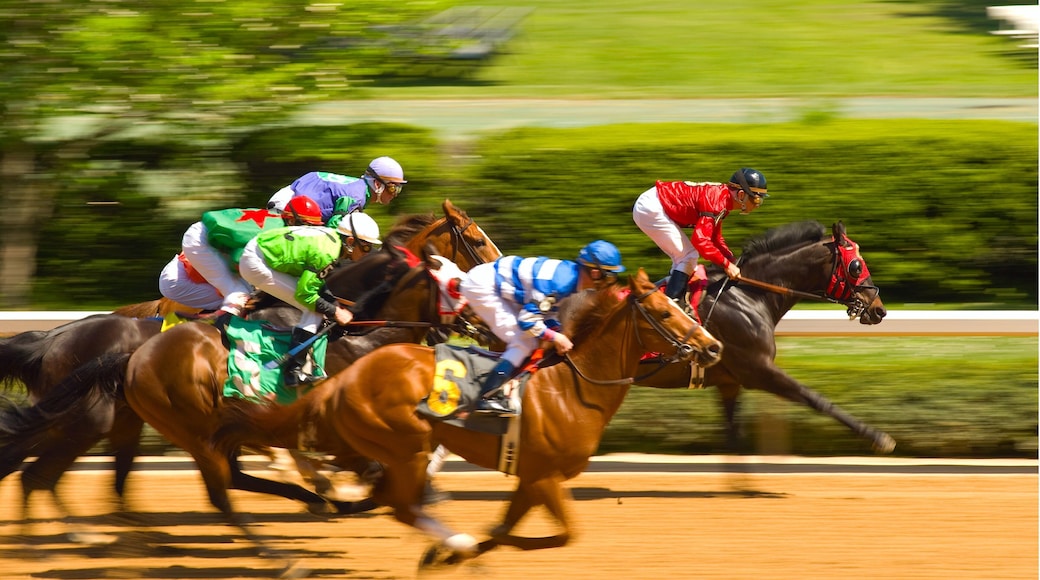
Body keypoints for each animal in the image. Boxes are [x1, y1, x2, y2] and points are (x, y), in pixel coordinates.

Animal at [0, 199, 501, 544]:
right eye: (476, 241)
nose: (491, 328)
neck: (360, 331)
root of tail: (52, 337)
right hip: (93, 418)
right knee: (39, 468)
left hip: (120, 419)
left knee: (96, 472)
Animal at [213, 267, 724, 568]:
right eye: (664, 312)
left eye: (679, 305)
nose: (714, 346)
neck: (572, 390)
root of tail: (349, 375)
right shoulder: (546, 476)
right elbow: (559, 536)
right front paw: (462, 550)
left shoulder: (532, 478)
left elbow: (512, 529)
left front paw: (465, 551)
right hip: (407, 445)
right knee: (401, 503)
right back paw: (446, 540)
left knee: (392, 498)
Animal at [635, 220, 893, 453]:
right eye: (856, 266)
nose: (879, 309)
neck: (749, 294)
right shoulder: (758, 369)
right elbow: (815, 398)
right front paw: (878, 437)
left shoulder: (729, 382)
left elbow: (733, 436)